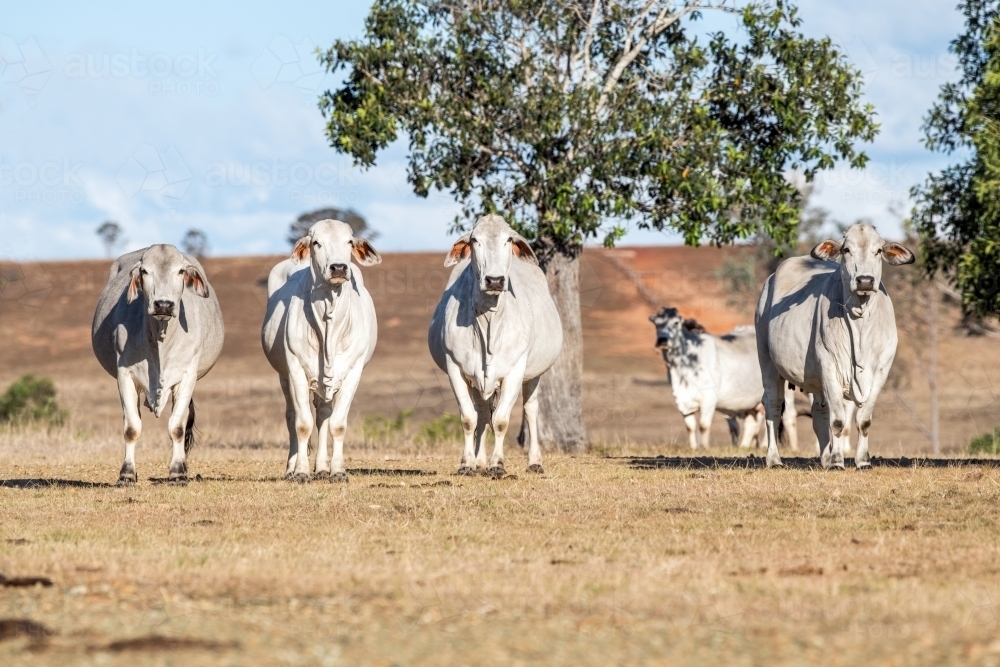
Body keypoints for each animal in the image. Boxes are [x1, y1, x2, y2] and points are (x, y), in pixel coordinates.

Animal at [92, 245, 225, 486]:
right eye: (144, 271)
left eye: (180, 271)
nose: (163, 304)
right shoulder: (125, 375)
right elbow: (131, 428)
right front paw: (127, 474)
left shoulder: (186, 377)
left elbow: (177, 428)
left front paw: (177, 473)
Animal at [260, 222, 380, 482]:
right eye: (316, 243)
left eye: (349, 241)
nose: (339, 268)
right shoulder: (295, 369)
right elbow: (302, 424)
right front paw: (301, 472)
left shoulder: (353, 372)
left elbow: (337, 424)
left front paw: (337, 471)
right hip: (284, 377)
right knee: (292, 416)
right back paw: (291, 468)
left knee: (324, 414)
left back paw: (323, 468)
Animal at [426, 217, 560, 478]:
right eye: (474, 240)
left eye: (508, 239)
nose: (495, 280)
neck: (488, 320)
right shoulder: (455, 367)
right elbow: (469, 418)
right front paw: (467, 464)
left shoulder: (516, 369)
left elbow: (501, 420)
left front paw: (497, 465)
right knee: (481, 411)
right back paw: (479, 461)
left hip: (534, 374)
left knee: (530, 410)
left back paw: (534, 461)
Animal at [648, 310, 796, 452]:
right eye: (656, 324)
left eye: (676, 323)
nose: (662, 340)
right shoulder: (683, 401)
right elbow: (690, 427)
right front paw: (694, 447)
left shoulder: (709, 398)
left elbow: (703, 425)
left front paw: (704, 447)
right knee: (752, 423)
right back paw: (745, 446)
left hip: (784, 394)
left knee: (787, 417)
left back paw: (789, 447)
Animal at [756, 224, 916, 470]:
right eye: (846, 250)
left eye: (878, 250)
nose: (865, 281)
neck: (860, 323)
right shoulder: (829, 366)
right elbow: (839, 421)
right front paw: (838, 461)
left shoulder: (881, 372)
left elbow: (863, 420)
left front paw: (862, 461)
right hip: (767, 362)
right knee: (773, 406)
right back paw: (774, 459)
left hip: (815, 379)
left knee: (819, 414)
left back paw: (824, 458)